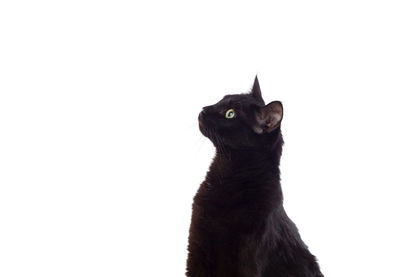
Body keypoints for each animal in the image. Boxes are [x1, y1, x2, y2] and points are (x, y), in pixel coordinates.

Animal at [186, 77, 324, 276]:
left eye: (230, 114)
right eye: (221, 100)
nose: (204, 109)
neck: (227, 175)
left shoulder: (243, 254)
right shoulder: (198, 244)